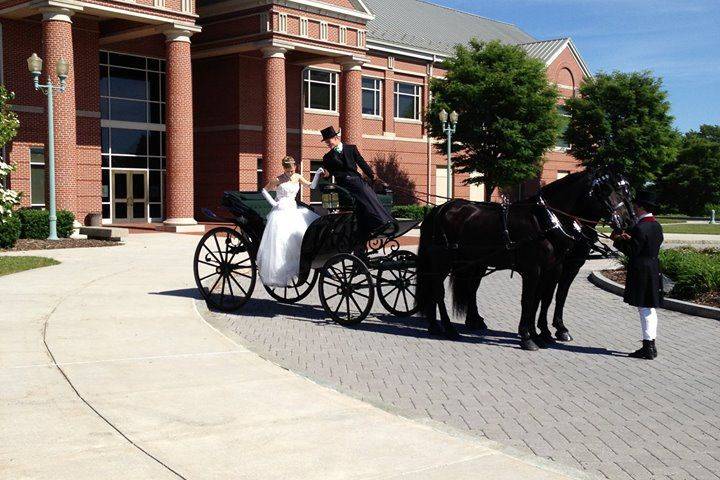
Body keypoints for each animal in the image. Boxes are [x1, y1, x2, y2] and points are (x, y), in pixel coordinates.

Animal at [414, 171, 632, 350]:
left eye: (626, 192)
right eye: (607, 190)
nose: (628, 222)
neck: (546, 220)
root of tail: (440, 209)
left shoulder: (552, 269)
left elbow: (543, 299)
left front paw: (542, 334)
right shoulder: (535, 270)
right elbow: (529, 300)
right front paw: (529, 337)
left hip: (473, 263)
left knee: (460, 289)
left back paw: (440, 325)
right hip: (443, 263)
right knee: (438, 291)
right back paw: (449, 328)